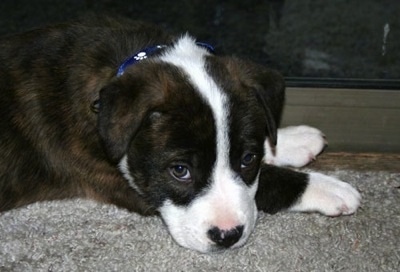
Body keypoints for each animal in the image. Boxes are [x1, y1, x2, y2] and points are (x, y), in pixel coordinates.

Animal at [0, 16, 362, 253]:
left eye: (248, 158)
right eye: (180, 171)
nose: (228, 236)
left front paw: (292, 139)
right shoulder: (121, 181)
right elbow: (270, 184)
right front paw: (330, 188)